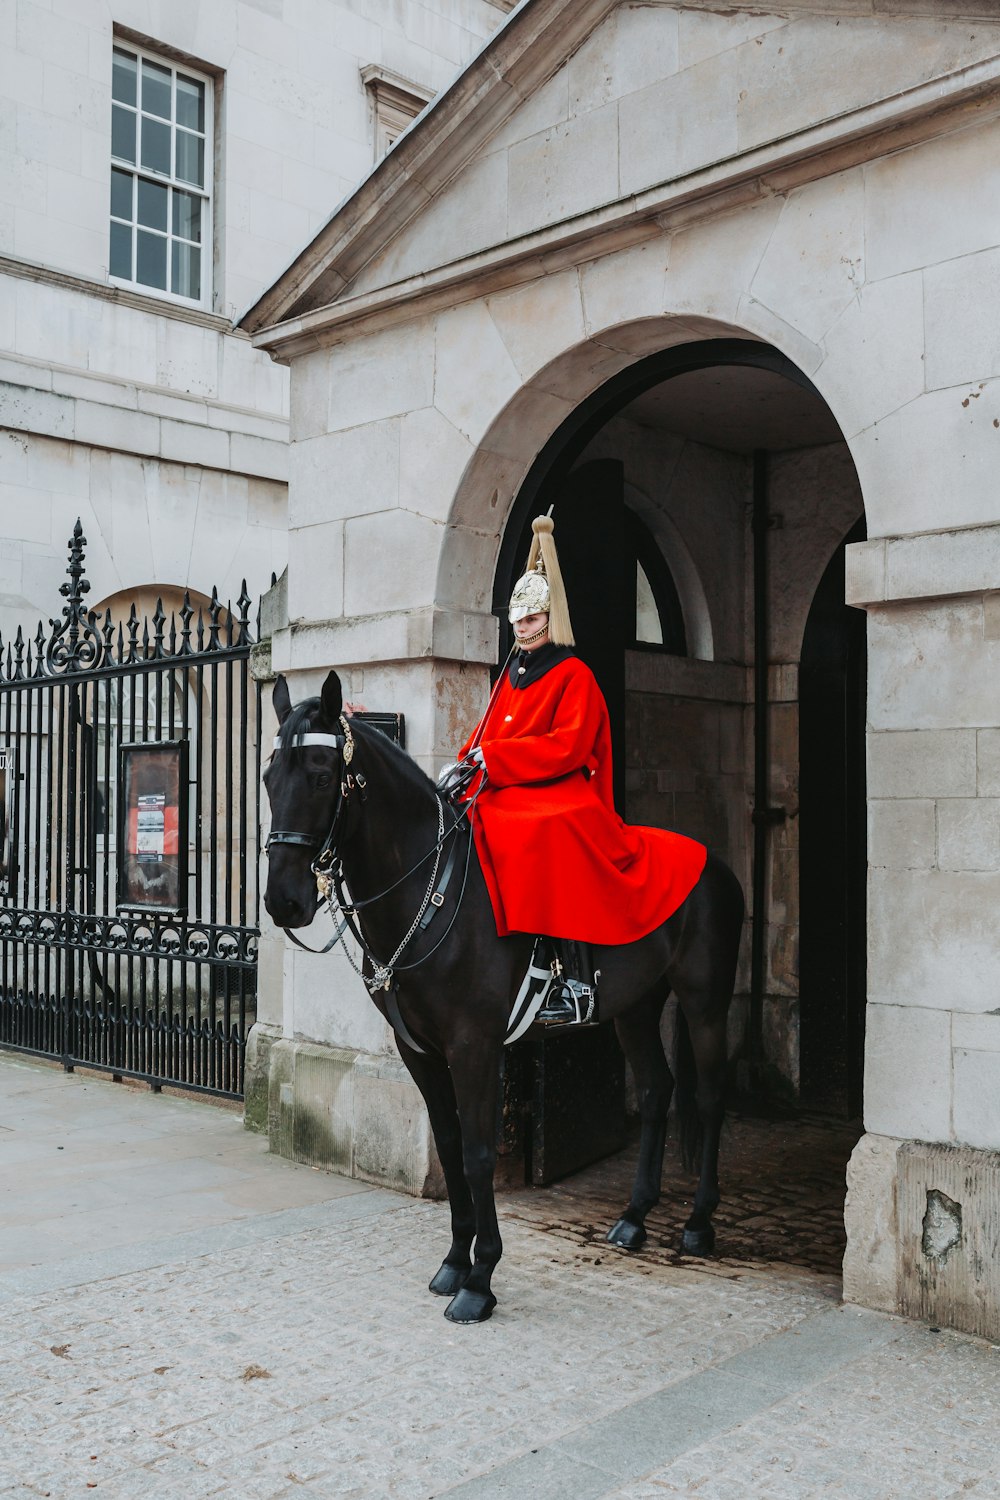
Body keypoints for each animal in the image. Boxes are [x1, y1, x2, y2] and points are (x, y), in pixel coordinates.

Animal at [262, 675, 746, 1320]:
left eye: (319, 775)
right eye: (269, 778)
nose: (284, 902)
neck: (429, 892)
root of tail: (713, 859)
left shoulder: (474, 1045)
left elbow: (478, 1152)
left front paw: (481, 1277)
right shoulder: (419, 1050)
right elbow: (447, 1145)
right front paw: (453, 1260)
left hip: (705, 999)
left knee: (712, 1096)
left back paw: (697, 1222)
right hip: (635, 1007)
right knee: (655, 1090)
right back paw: (635, 1216)